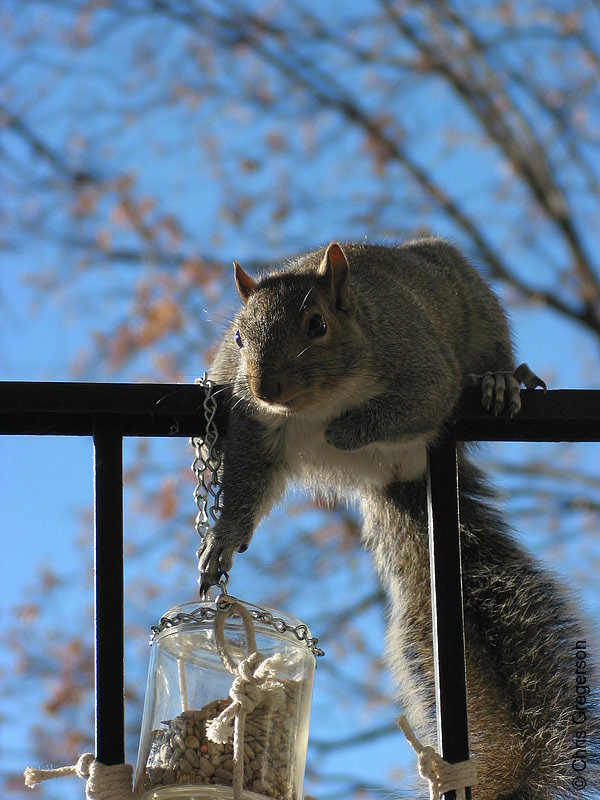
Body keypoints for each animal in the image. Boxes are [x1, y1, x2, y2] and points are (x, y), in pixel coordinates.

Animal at [200, 239, 596, 800]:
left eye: (317, 325)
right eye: (237, 335)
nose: (264, 387)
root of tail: (394, 472)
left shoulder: (414, 363)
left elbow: (420, 402)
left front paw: (346, 431)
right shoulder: (256, 424)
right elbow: (244, 486)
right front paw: (223, 540)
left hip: (476, 310)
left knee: (486, 362)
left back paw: (501, 377)